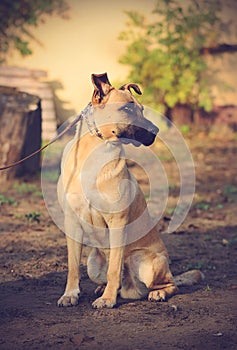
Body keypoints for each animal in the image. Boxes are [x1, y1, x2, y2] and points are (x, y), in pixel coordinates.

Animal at [57, 72, 204, 308]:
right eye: (126, 108)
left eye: (142, 109)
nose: (156, 131)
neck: (96, 148)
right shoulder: (72, 221)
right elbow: (72, 267)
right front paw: (70, 294)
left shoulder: (117, 221)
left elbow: (114, 269)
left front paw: (107, 300)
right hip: (93, 263)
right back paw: (105, 289)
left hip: (143, 260)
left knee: (171, 284)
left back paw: (155, 293)